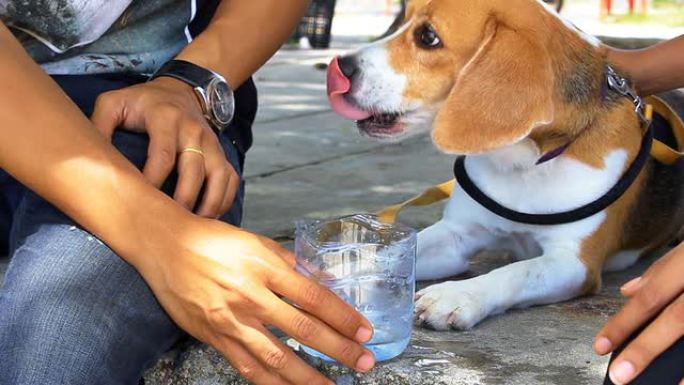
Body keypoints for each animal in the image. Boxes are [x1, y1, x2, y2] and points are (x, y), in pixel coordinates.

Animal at [324, 0, 684, 330]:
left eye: (427, 36)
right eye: (402, 20)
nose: (340, 66)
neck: (525, 165)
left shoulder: (574, 262)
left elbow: (516, 271)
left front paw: (456, 295)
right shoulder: (457, 234)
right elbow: (388, 256)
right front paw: (340, 268)